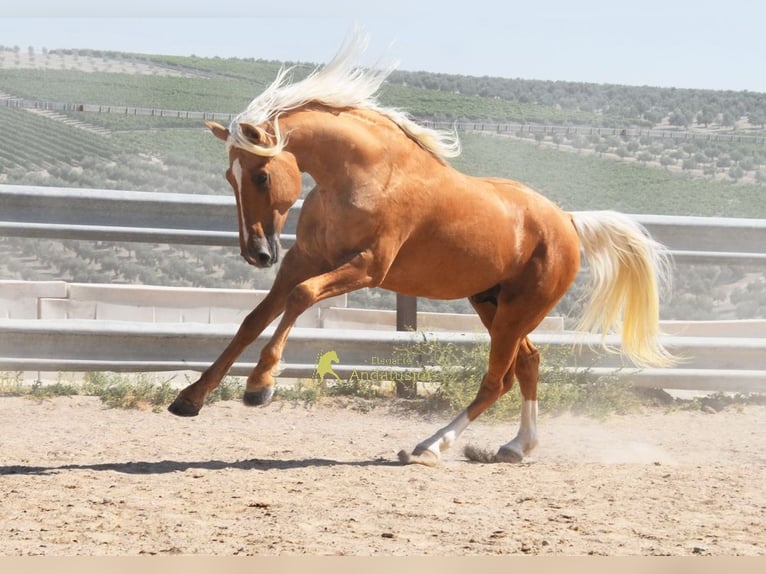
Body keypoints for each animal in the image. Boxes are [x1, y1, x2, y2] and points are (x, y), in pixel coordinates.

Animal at [168, 34, 674, 466]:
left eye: (260, 176)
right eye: (229, 177)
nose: (256, 253)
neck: (363, 174)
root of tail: (567, 221)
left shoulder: (365, 268)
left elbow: (301, 297)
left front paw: (260, 385)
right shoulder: (301, 259)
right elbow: (254, 319)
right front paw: (190, 398)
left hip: (519, 310)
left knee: (497, 379)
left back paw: (430, 446)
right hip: (492, 303)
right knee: (528, 365)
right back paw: (515, 447)